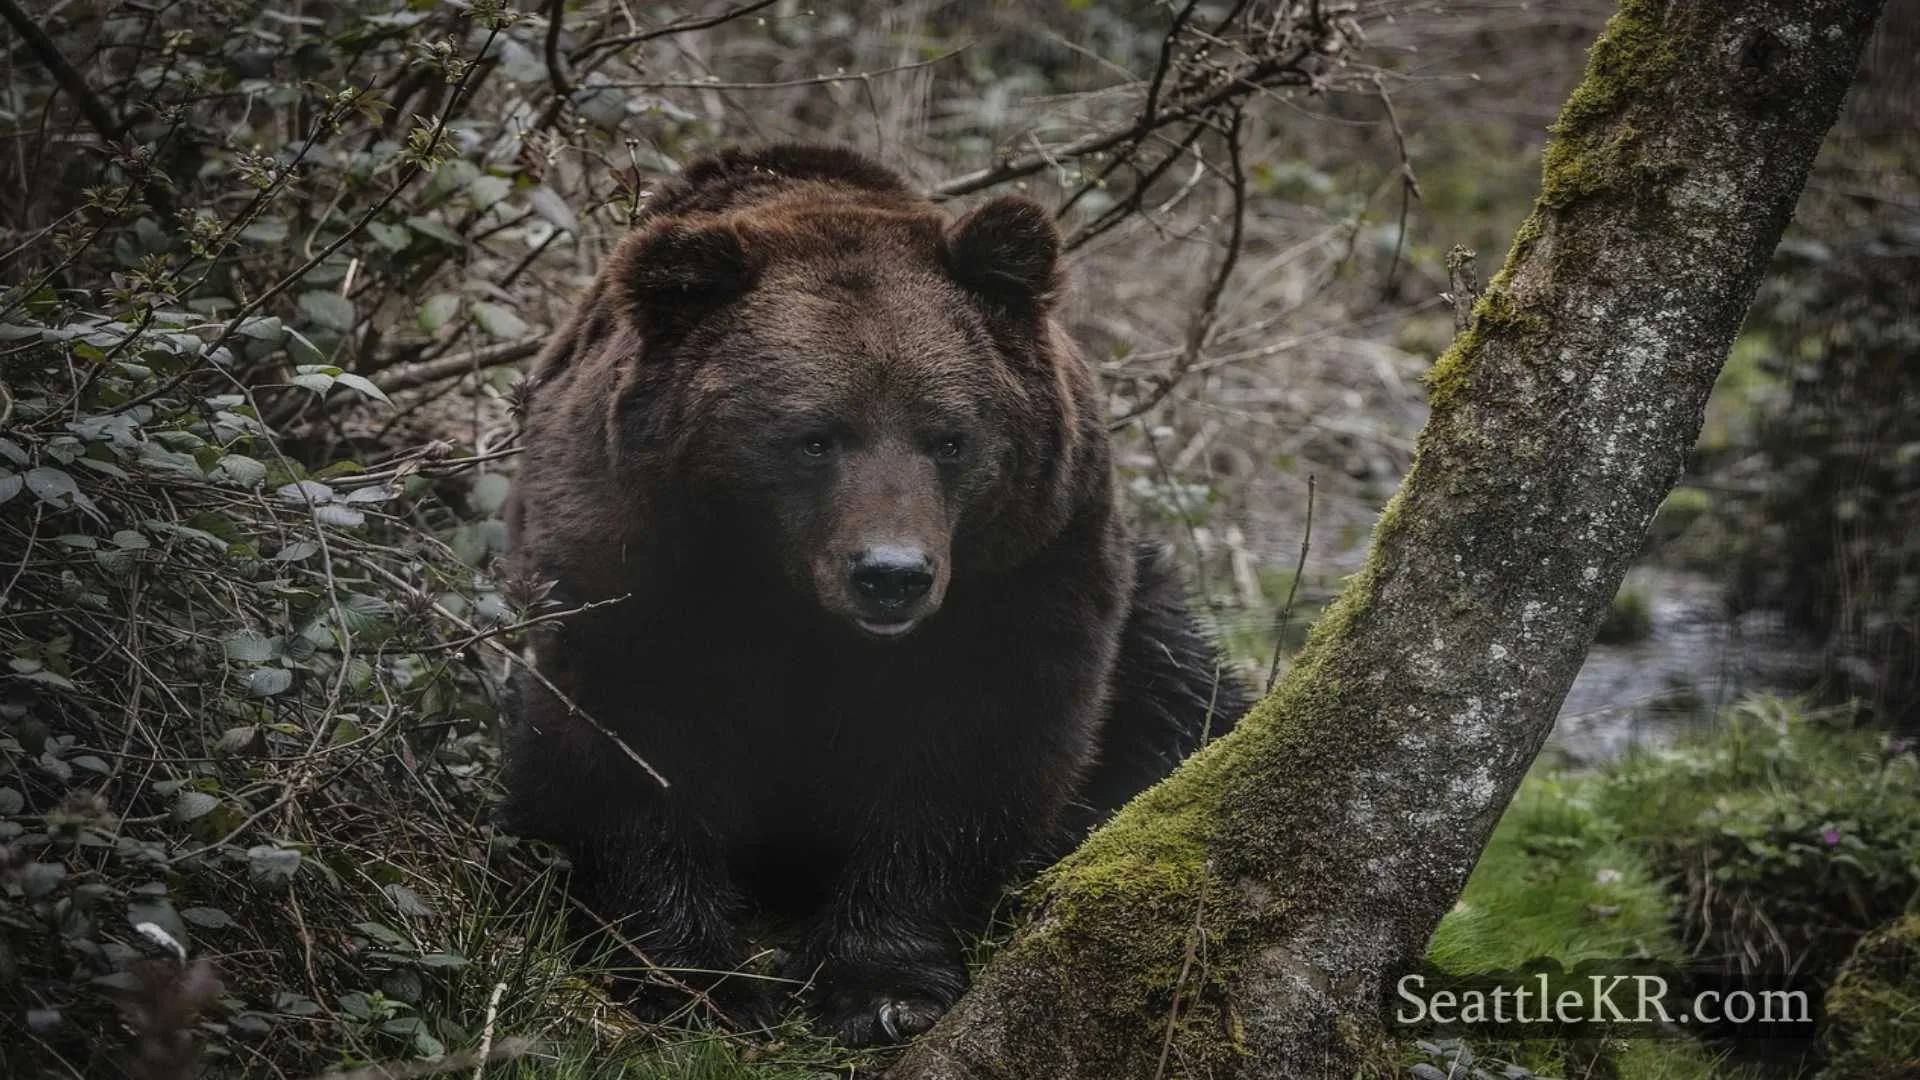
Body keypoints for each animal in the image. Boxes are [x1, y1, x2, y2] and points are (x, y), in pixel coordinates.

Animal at [495, 145, 1244, 1045]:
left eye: (949, 439)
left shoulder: (1027, 566)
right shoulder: (629, 557)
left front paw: (884, 987)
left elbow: (971, 755)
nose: (892, 574)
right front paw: (694, 979)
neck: (788, 596)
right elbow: (631, 748)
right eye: (814, 438)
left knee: (1184, 700)